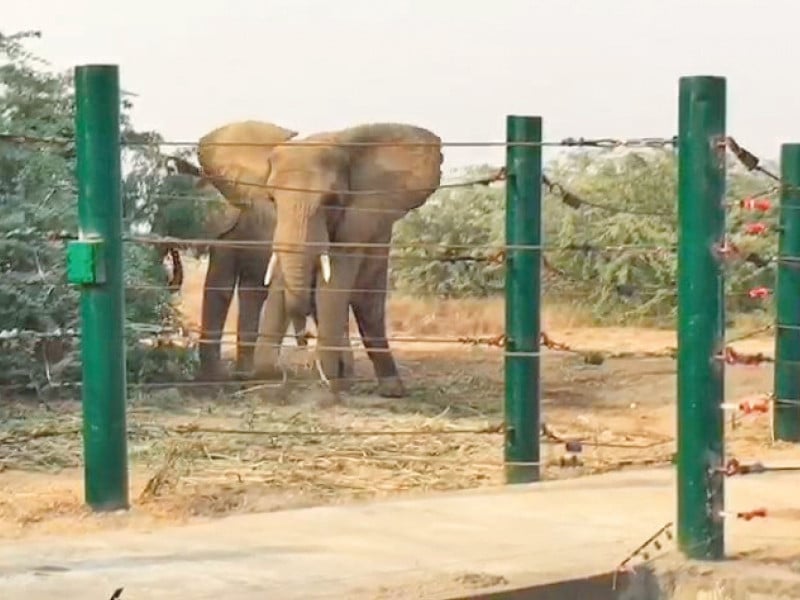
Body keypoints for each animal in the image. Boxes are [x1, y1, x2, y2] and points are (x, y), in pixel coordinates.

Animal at [247, 122, 440, 398]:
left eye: (331, 201)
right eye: (272, 199)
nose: (304, 339)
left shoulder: (357, 221)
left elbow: (334, 285)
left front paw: (332, 381)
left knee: (367, 306)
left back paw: (388, 389)